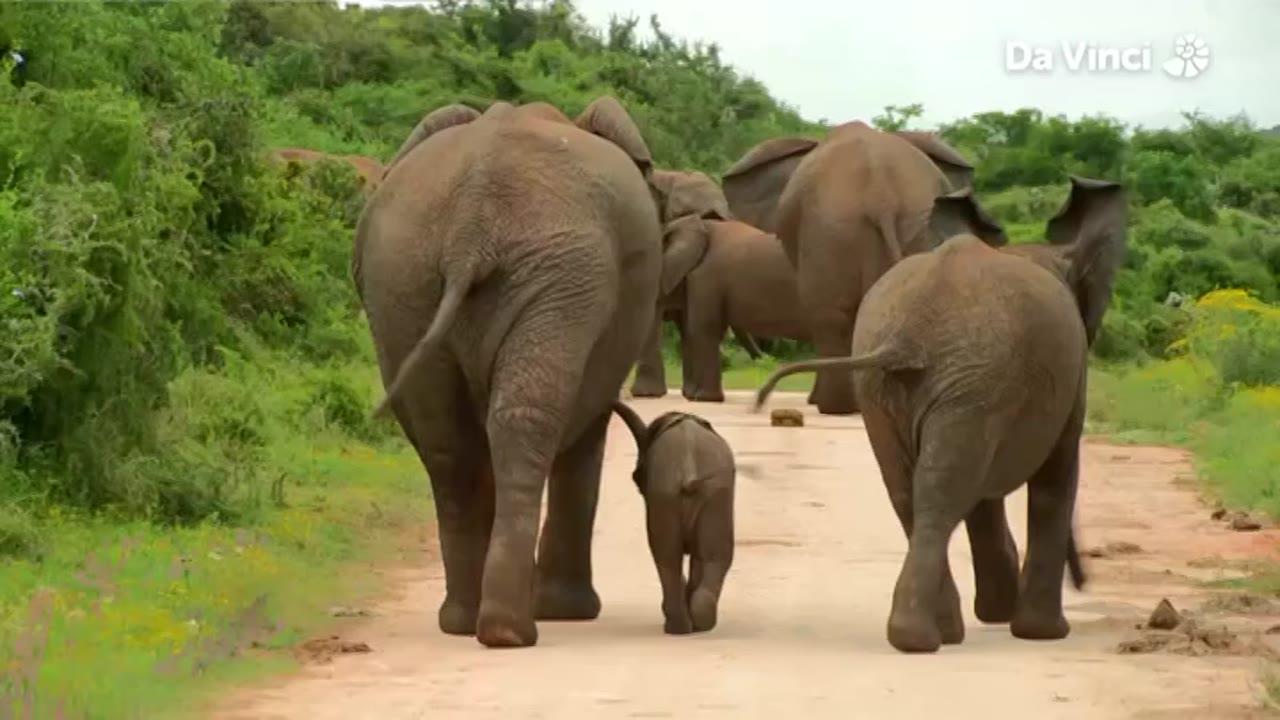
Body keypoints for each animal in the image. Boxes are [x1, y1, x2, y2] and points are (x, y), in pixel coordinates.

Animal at [350, 95, 675, 645]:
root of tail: (470, 228)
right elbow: (588, 429)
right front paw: (568, 612)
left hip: (405, 280)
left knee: (449, 442)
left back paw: (469, 622)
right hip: (556, 275)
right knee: (523, 422)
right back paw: (511, 628)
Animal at [611, 399, 737, 630]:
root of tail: (689, 467)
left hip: (668, 492)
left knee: (669, 556)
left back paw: (679, 627)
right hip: (713, 492)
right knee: (712, 555)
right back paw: (699, 623)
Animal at [721, 125, 977, 412]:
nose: (758, 399)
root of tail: (880, 195)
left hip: (830, 234)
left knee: (829, 317)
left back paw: (835, 408)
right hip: (910, 227)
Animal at [752, 174, 1126, 650]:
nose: (1084, 583)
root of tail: (907, 338)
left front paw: (1003, 616)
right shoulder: (1066, 378)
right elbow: (1054, 479)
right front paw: (1043, 634)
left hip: (893, 388)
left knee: (910, 491)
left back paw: (935, 633)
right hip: (966, 376)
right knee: (941, 493)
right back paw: (922, 639)